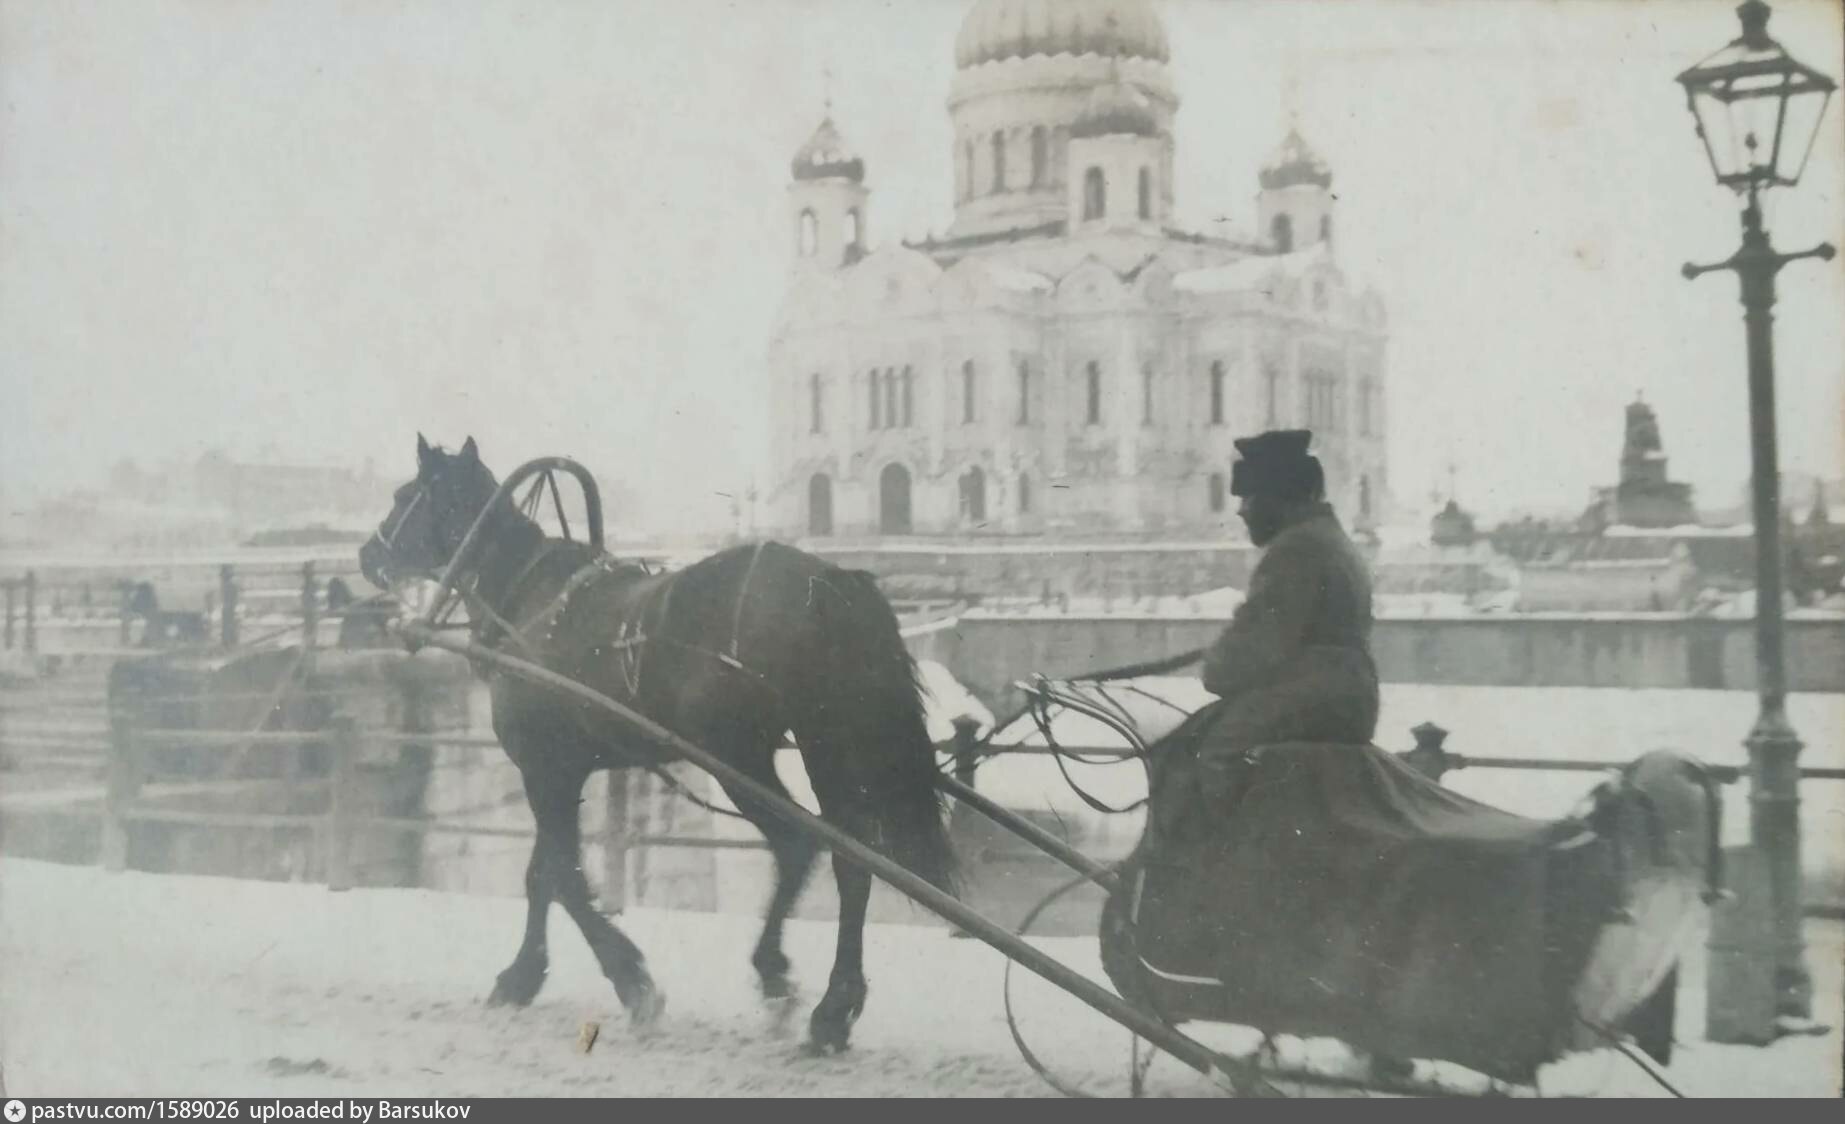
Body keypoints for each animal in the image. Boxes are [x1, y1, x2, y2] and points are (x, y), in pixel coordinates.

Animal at [363, 433, 966, 1048]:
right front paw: (527, 974)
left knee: (798, 845)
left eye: (405, 495)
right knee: (851, 861)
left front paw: (627, 980)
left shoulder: (543, 769)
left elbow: (563, 876)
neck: (532, 606)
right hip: (825, 747)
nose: (368, 556)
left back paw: (776, 974)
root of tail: (830, 583)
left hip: (738, 759)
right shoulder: (563, 772)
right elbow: (545, 874)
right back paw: (834, 1007)